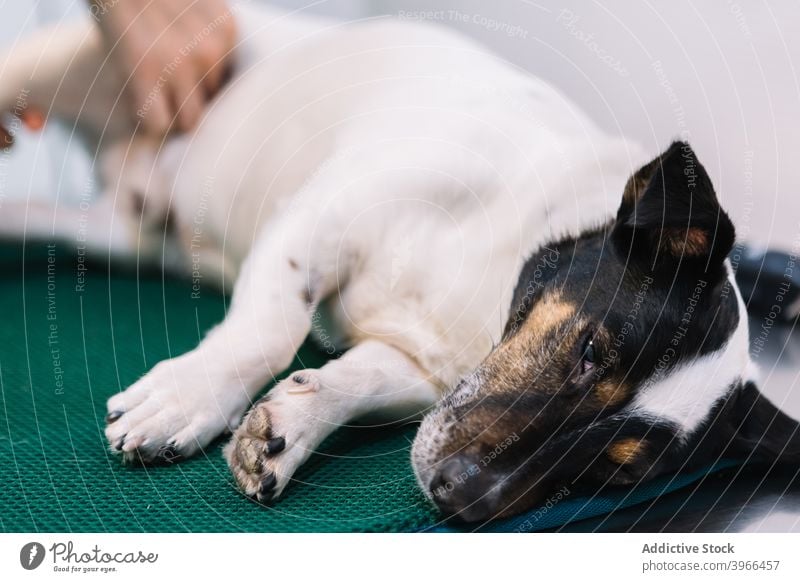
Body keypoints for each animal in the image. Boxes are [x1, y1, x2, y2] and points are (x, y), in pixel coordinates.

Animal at [0, 4, 796, 524]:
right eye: (591, 352)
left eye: (619, 467)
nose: (461, 497)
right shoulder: (319, 219)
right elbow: (269, 334)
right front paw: (188, 397)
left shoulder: (413, 365)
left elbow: (346, 384)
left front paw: (285, 432)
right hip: (64, 63)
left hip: (110, 233)